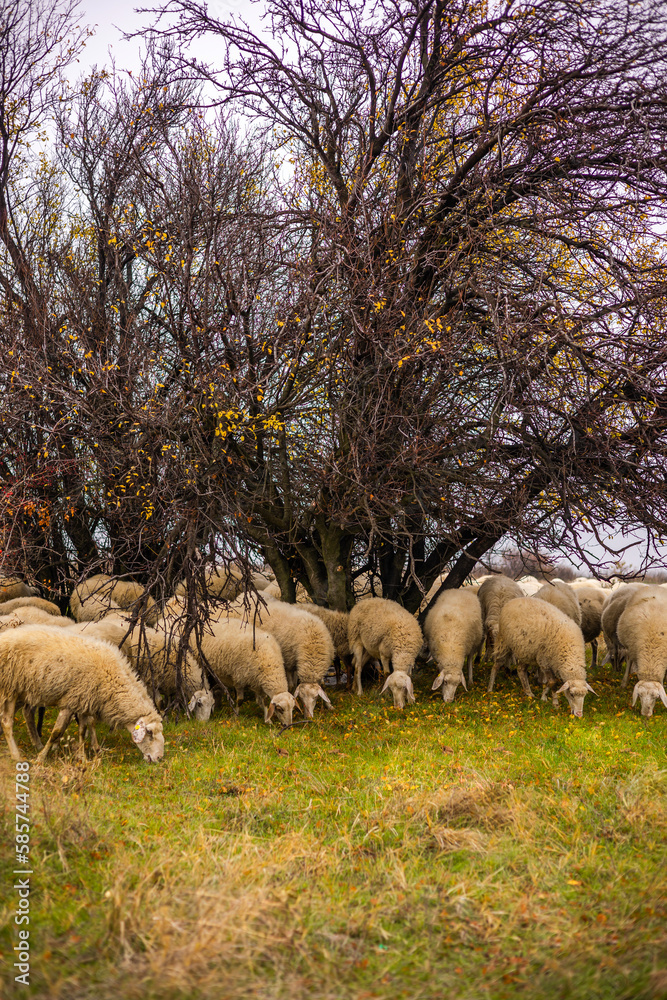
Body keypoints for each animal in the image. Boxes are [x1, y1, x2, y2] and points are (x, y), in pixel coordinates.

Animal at [0, 624, 164, 762]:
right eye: (149, 733)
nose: (159, 758)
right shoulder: (71, 700)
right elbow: (57, 732)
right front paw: (41, 758)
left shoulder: (84, 700)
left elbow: (83, 730)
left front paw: (83, 757)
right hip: (9, 688)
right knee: (7, 722)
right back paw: (16, 755)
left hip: (23, 691)